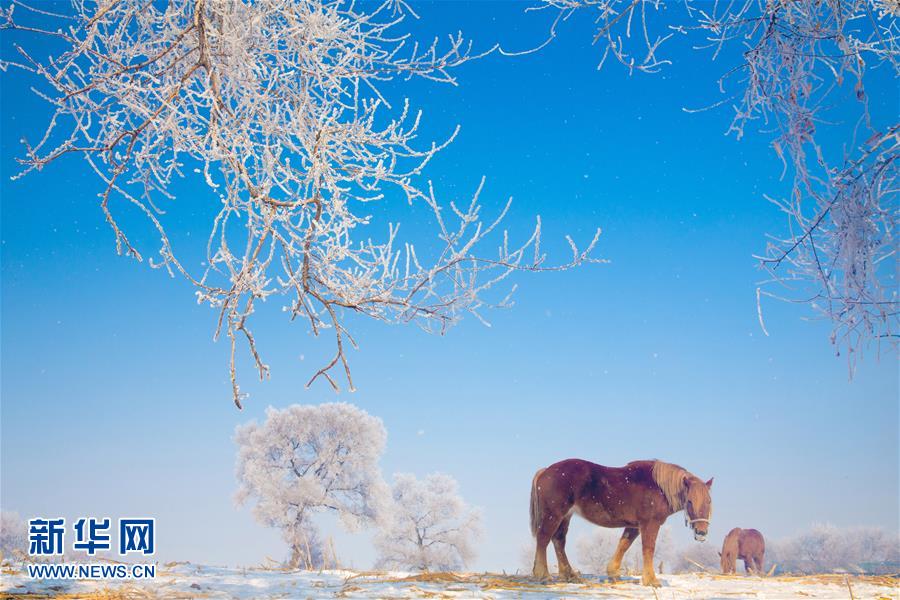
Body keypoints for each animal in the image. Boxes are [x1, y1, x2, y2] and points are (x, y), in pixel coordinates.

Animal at [528, 460, 712, 584]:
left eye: (709, 501)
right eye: (690, 502)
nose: (701, 533)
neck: (659, 488)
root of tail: (545, 471)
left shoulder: (633, 526)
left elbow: (623, 545)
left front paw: (613, 573)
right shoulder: (649, 524)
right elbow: (648, 549)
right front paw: (651, 580)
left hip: (565, 516)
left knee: (558, 541)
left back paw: (569, 575)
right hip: (553, 515)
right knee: (543, 539)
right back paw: (543, 574)